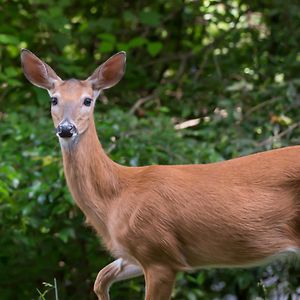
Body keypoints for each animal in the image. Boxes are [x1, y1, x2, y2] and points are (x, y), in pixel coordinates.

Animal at [21, 49, 300, 300]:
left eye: (88, 100)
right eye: (54, 100)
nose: (66, 129)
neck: (116, 197)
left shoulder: (158, 253)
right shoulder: (133, 254)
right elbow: (101, 279)